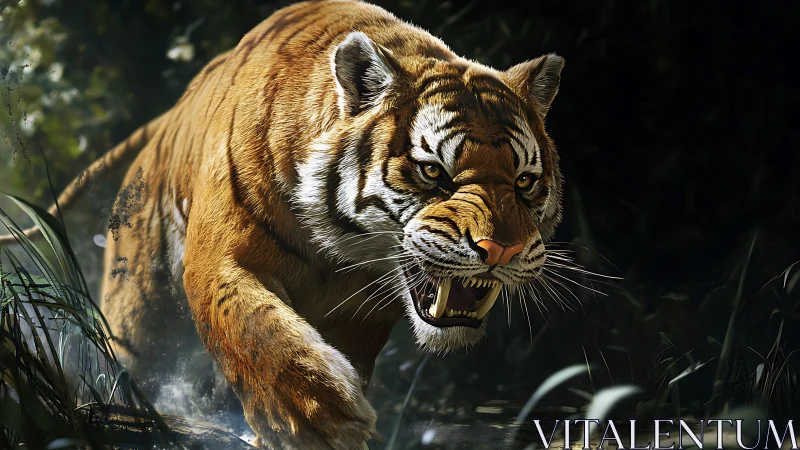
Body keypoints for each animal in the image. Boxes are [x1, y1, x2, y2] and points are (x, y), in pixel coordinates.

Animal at [1, 0, 565, 447]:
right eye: (433, 172)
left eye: (525, 181)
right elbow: (258, 332)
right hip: (137, 308)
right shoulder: (221, 260)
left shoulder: (360, 312)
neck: (344, 248)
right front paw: (320, 418)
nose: (502, 250)